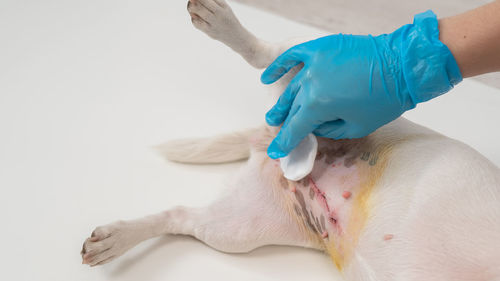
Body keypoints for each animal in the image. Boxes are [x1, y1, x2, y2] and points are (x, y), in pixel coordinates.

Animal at [81, 1, 500, 278]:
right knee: (269, 55)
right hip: (323, 69)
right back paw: (220, 21)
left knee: (177, 215)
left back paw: (114, 238)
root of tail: (269, 138)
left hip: (235, 228)